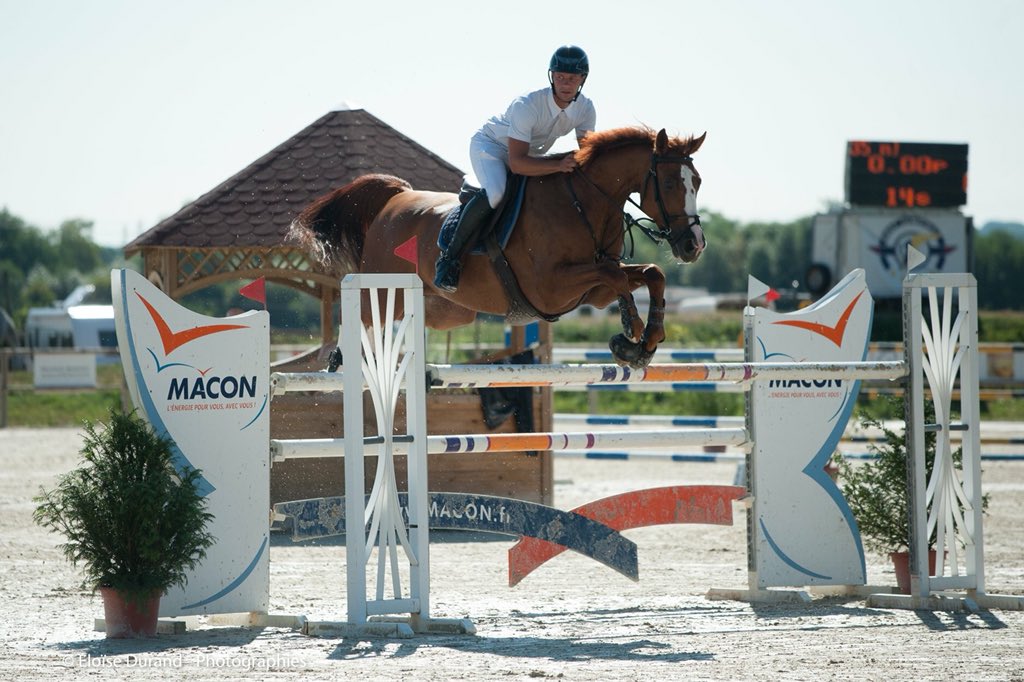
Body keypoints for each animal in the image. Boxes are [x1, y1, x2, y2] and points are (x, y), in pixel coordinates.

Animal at [289, 126, 706, 368]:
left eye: (697, 181)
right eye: (670, 183)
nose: (694, 245)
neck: (584, 202)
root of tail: (395, 199)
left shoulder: (592, 293)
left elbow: (648, 273)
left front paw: (645, 340)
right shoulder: (551, 288)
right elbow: (614, 273)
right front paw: (632, 329)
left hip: (445, 311)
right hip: (379, 291)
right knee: (358, 322)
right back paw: (338, 361)